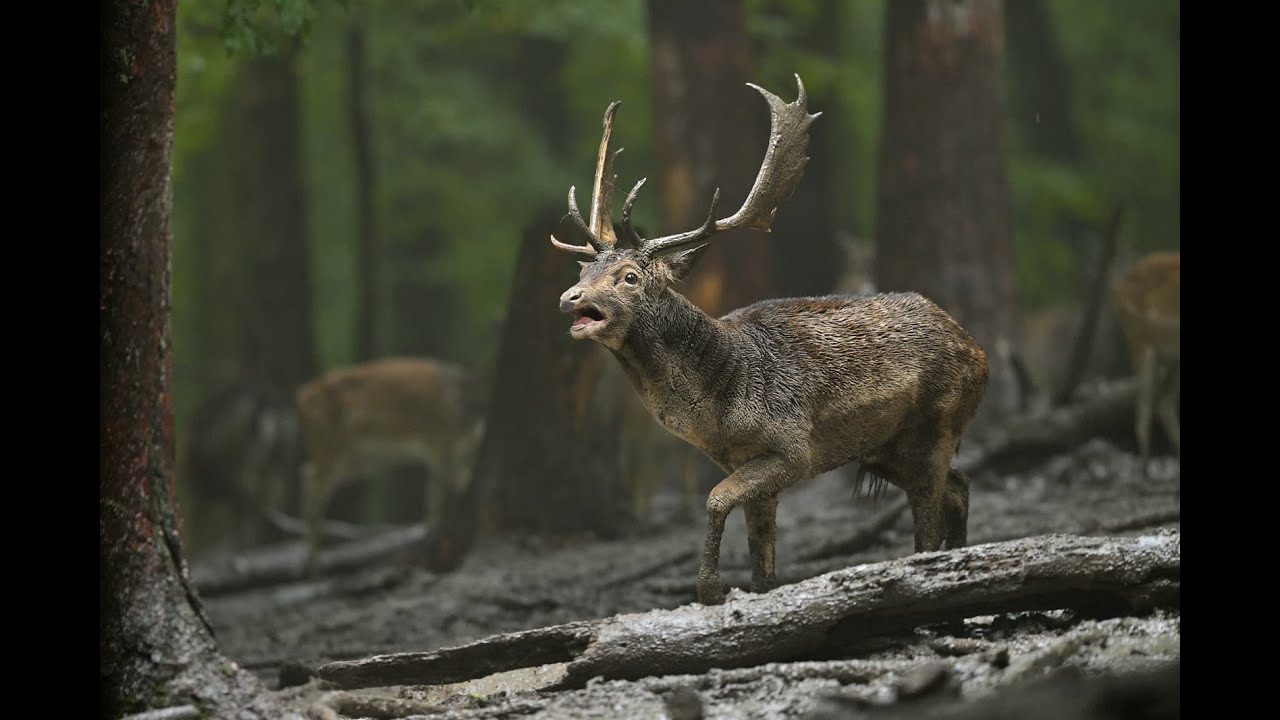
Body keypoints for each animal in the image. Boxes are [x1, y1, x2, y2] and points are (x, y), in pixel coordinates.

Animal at [296, 356, 486, 576]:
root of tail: (300, 400)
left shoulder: (439, 452)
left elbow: (434, 498)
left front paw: (433, 537)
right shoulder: (439, 441)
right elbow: (460, 481)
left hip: (355, 462)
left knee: (307, 475)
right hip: (329, 448)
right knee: (312, 483)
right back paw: (313, 569)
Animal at [549, 75, 990, 605]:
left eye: (630, 276)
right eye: (582, 270)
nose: (570, 298)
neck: (722, 406)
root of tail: (979, 351)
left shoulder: (792, 448)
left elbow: (715, 500)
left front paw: (709, 588)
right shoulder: (745, 464)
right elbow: (763, 570)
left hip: (937, 425)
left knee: (928, 527)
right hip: (886, 448)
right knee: (959, 485)